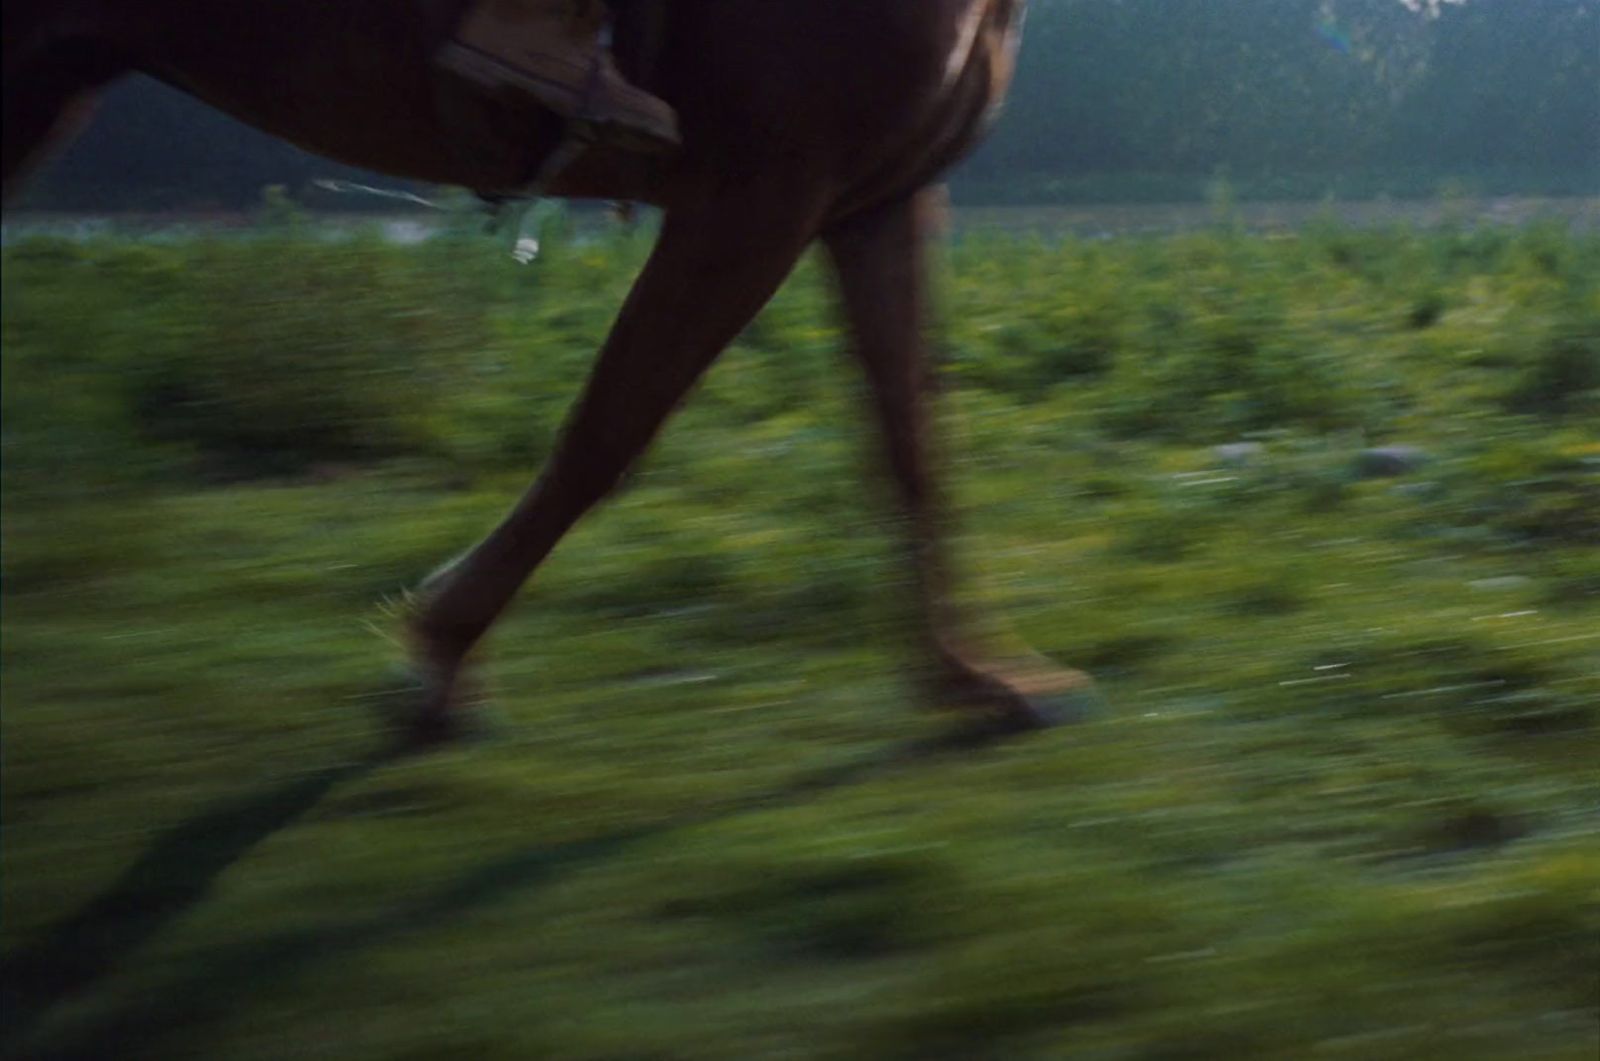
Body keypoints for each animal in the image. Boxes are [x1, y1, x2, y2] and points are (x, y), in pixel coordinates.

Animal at [0, 0, 1094, 739]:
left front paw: (976, 675)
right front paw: (438, 649)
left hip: (46, 83)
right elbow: (609, 430)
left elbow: (911, 436)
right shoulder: (758, 193)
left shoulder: (873, 197)